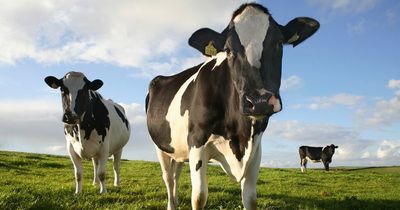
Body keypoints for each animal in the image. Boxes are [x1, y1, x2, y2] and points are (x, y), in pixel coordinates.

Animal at [145, 3, 318, 210]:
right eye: (228, 50)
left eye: (278, 43)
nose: (259, 101)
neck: (239, 134)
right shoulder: (196, 140)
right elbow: (199, 197)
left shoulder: (255, 147)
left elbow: (250, 198)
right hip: (161, 147)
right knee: (168, 179)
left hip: (178, 149)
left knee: (176, 174)